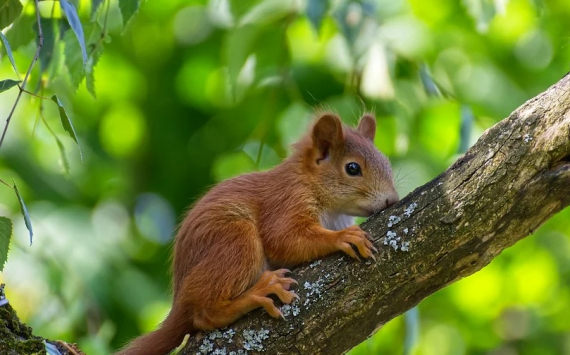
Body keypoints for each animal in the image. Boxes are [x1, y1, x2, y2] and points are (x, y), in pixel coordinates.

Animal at [117, 113, 398, 355]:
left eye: (387, 162)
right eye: (352, 168)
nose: (392, 200)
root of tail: (178, 301)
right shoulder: (286, 201)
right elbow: (284, 239)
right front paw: (343, 237)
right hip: (236, 242)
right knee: (203, 314)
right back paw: (257, 293)